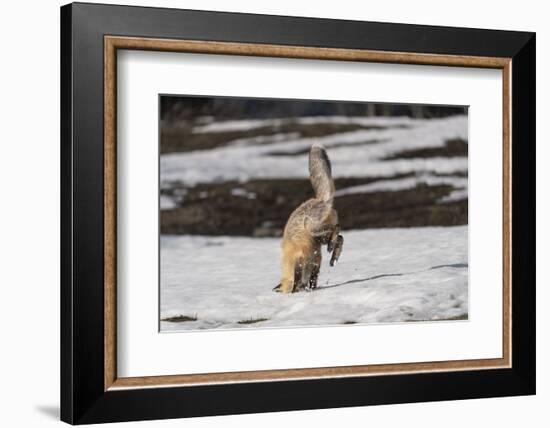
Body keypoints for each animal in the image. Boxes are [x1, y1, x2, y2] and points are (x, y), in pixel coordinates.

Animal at [274, 145, 348, 294]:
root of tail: (319, 200)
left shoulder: (301, 259)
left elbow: (299, 279)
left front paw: (297, 291)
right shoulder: (316, 262)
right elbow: (313, 280)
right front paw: (311, 290)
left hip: (312, 228)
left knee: (336, 228)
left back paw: (332, 247)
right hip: (320, 239)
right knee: (340, 237)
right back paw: (334, 256)